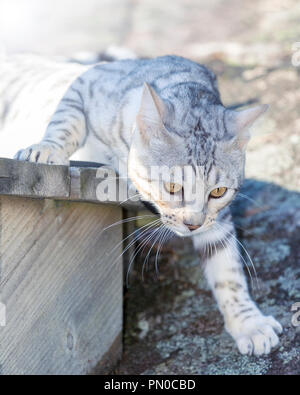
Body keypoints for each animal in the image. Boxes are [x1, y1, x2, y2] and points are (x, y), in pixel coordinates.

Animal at [0, 53, 282, 356]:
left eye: (218, 191)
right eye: (172, 187)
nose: (192, 225)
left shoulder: (217, 220)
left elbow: (227, 269)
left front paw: (249, 323)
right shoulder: (87, 83)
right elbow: (66, 121)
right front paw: (47, 148)